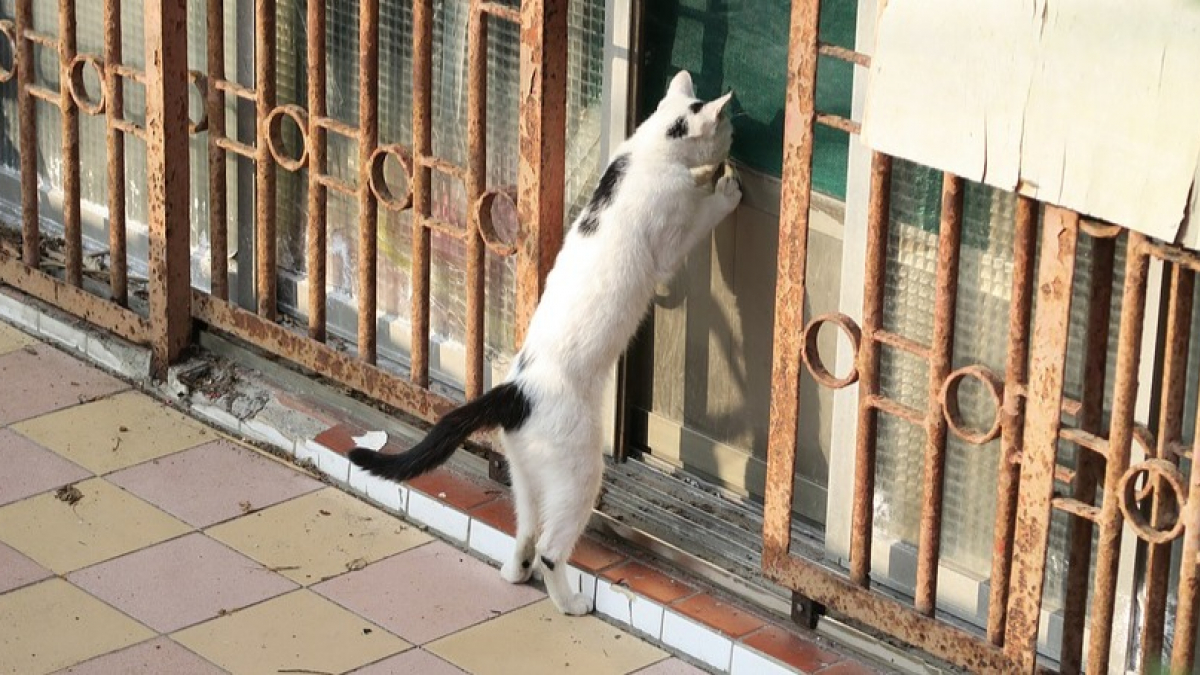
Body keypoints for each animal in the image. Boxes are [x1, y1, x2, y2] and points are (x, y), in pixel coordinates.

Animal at [348, 69, 739, 614]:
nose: (737, 141)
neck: (645, 153)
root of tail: (514, 392)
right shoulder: (670, 235)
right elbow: (698, 220)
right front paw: (726, 186)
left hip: (527, 476)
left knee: (527, 531)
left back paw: (516, 572)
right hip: (578, 471)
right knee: (553, 547)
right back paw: (571, 602)